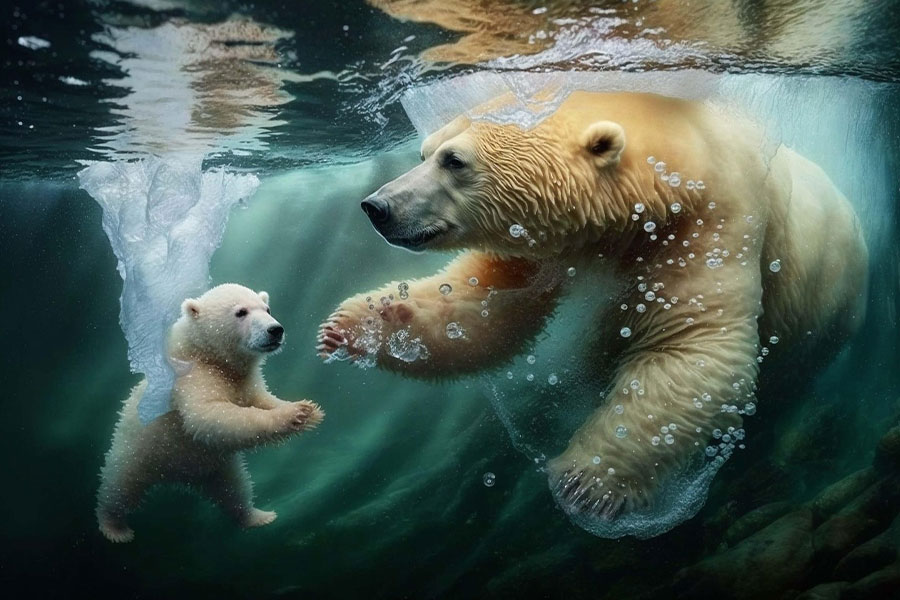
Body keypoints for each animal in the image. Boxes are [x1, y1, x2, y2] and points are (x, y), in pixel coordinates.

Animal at [97, 284, 324, 543]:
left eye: (267, 308)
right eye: (241, 312)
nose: (275, 330)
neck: (205, 354)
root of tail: (176, 474)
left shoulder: (246, 383)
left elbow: (263, 400)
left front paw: (309, 409)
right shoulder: (192, 379)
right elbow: (209, 415)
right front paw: (295, 413)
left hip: (217, 466)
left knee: (236, 490)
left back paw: (258, 516)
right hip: (135, 454)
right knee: (118, 488)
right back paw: (115, 528)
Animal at [317, 90, 868, 526]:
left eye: (454, 160)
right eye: (424, 152)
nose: (376, 206)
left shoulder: (710, 222)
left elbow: (692, 347)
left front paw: (583, 483)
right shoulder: (544, 251)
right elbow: (482, 307)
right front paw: (355, 325)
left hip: (824, 321)